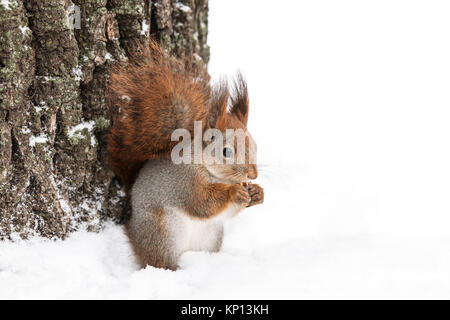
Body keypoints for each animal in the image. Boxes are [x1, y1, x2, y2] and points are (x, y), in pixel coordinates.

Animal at [107, 40, 264, 270]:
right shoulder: (184, 183)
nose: (252, 175)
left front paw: (257, 192)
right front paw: (234, 192)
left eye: (254, 145)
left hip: (211, 235)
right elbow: (202, 202)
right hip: (162, 232)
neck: (208, 169)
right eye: (226, 151)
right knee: (158, 260)